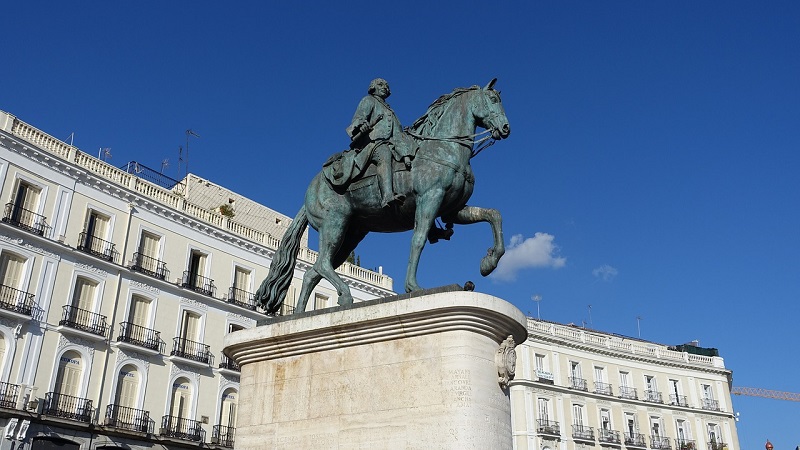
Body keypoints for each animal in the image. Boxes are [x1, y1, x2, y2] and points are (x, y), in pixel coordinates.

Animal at [256, 80, 512, 312]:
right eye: (493, 100)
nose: (506, 128)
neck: (444, 147)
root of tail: (311, 189)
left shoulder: (452, 210)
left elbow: (494, 215)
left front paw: (489, 263)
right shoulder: (430, 198)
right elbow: (418, 240)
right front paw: (413, 287)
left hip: (351, 234)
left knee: (314, 271)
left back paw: (298, 314)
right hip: (334, 223)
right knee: (322, 263)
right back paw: (345, 296)